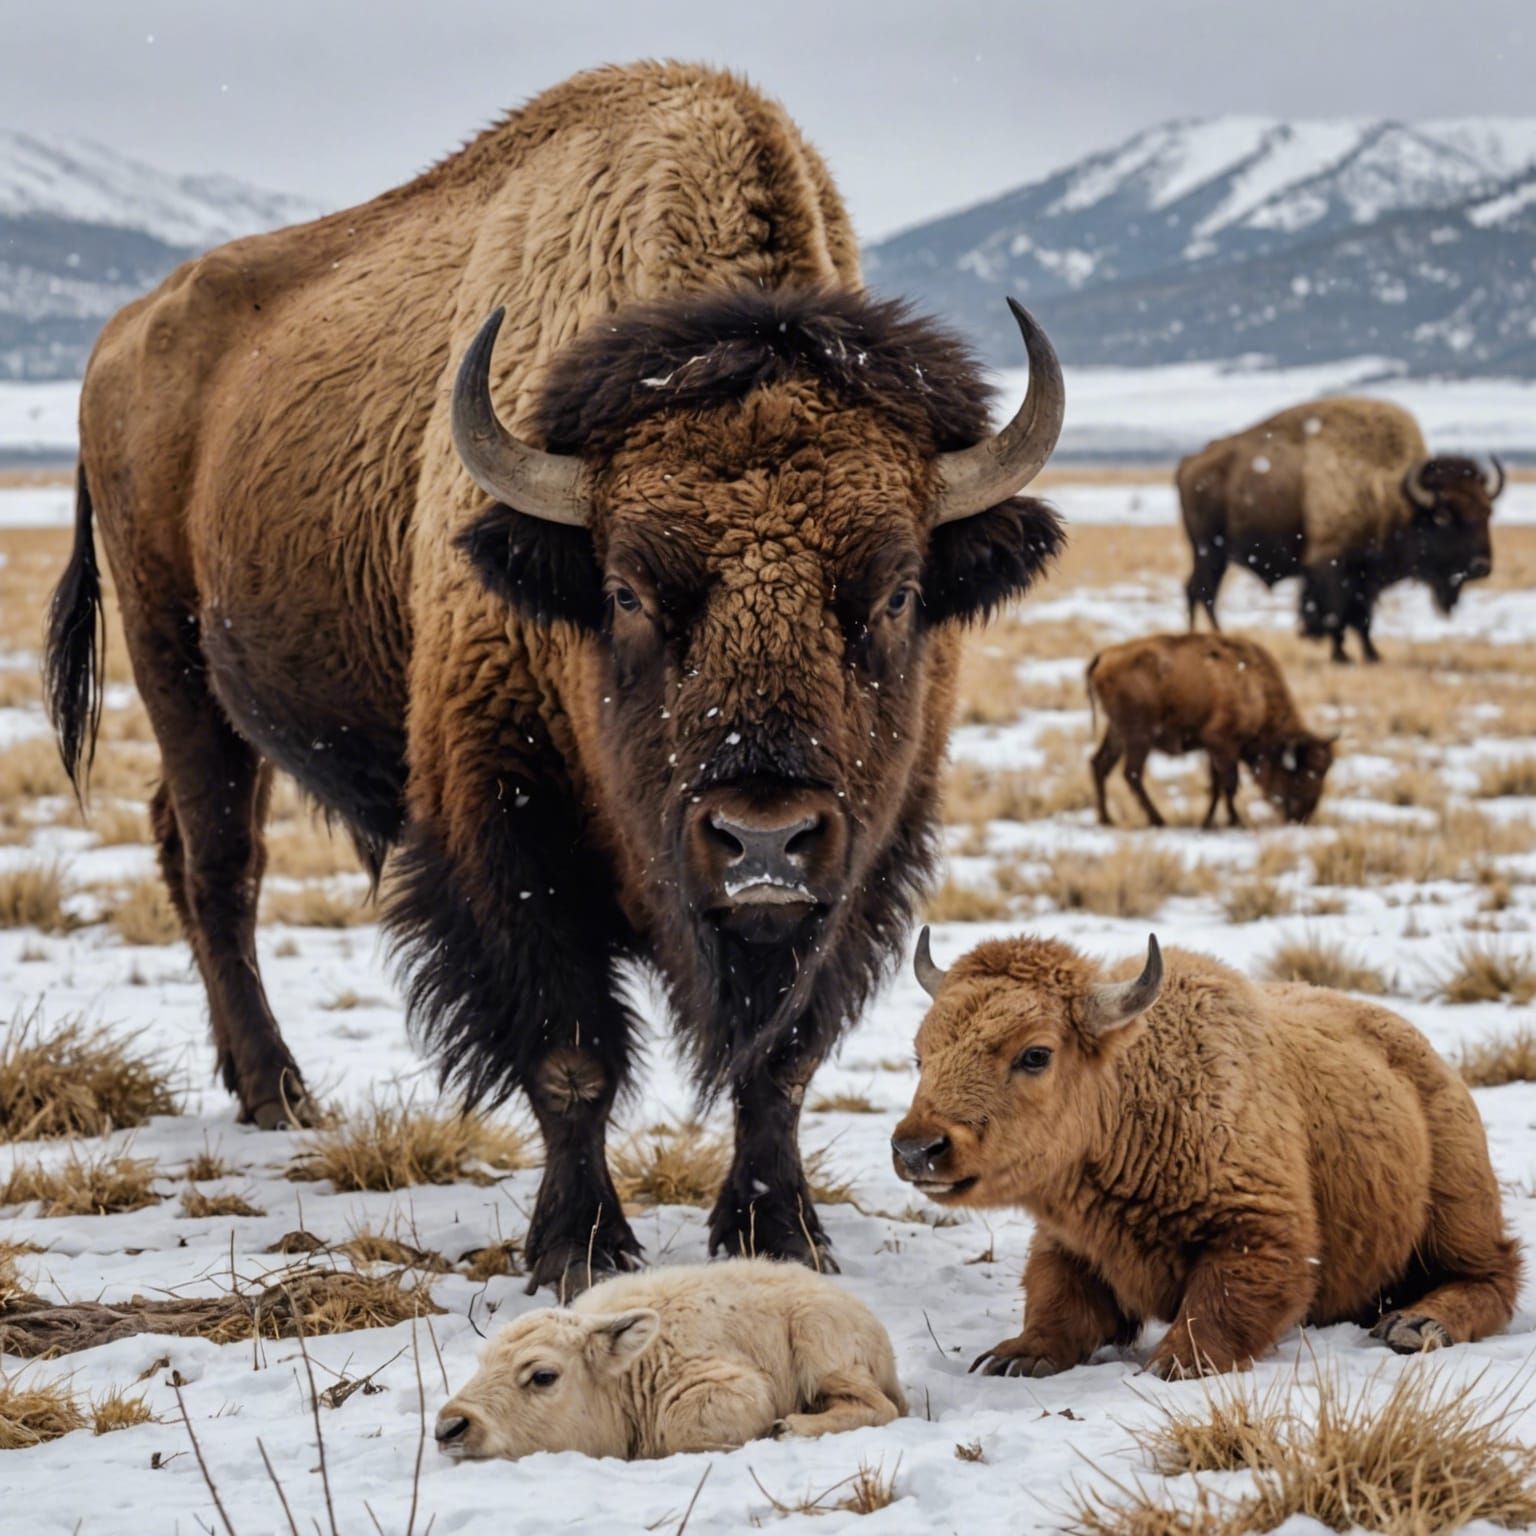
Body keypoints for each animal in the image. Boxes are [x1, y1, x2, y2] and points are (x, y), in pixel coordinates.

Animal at [43, 62, 1066, 1295]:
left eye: (900, 592)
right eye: (624, 591)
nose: (762, 840)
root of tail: (124, 333)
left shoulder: (861, 863)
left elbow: (781, 1061)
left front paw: (783, 1236)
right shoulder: (507, 825)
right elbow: (569, 1053)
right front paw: (579, 1250)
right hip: (176, 669)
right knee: (220, 867)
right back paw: (283, 1094)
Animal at [434, 1259, 905, 1460]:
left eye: (543, 1375)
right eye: (482, 1362)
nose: (449, 1427)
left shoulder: (729, 1384)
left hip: (820, 1340)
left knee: (881, 1407)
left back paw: (793, 1425)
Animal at [891, 930, 1519, 1379]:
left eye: (1035, 1054)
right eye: (920, 1054)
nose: (916, 1148)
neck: (1138, 1097)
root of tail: (1429, 1060)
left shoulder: (1263, 1233)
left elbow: (1219, 1303)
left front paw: (1174, 1363)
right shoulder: (1070, 1241)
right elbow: (1057, 1300)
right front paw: (1017, 1355)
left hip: (1455, 1211)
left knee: (1494, 1275)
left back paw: (1417, 1322)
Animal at [1086, 633, 1334, 829]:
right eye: (1307, 771)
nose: (1305, 814)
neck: (1256, 691)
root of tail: (1104, 657)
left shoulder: (1214, 749)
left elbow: (1217, 785)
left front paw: (1209, 822)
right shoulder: (1222, 743)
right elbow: (1229, 783)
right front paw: (1236, 821)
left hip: (1117, 734)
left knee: (1100, 764)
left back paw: (1106, 819)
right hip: (1138, 737)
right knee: (1131, 774)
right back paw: (1158, 820)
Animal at [1178, 397, 1502, 663]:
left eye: (1487, 511)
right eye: (1443, 516)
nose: (1481, 566)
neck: (1389, 492)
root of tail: (1190, 462)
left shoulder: (1364, 574)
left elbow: (1362, 617)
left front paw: (1373, 655)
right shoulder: (1331, 564)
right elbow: (1336, 613)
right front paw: (1341, 655)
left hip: (1209, 553)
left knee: (1195, 589)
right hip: (1210, 549)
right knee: (1204, 591)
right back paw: (1219, 637)